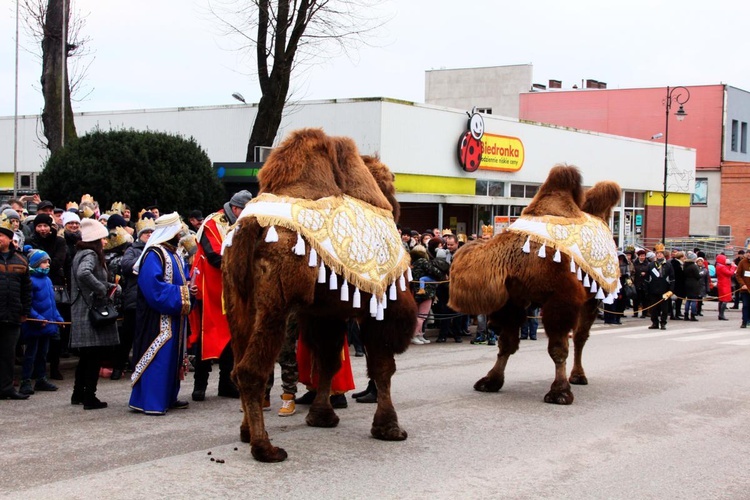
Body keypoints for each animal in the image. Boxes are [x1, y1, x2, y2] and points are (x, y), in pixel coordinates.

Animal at [223, 128, 418, 460]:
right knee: (251, 370)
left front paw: (322, 415)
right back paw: (266, 448)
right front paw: (389, 428)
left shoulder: (325, 311)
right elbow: (382, 366)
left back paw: (247, 432)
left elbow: (327, 359)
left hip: (239, 304)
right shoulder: (380, 303)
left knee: (239, 365)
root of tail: (249, 226)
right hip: (274, 306)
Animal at [450, 165, 620, 406]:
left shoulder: (560, 300)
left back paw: (578, 376)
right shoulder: (513, 300)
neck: (519, 259)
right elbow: (506, 343)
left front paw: (559, 392)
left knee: (580, 337)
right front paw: (491, 380)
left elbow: (558, 349)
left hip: (593, 297)